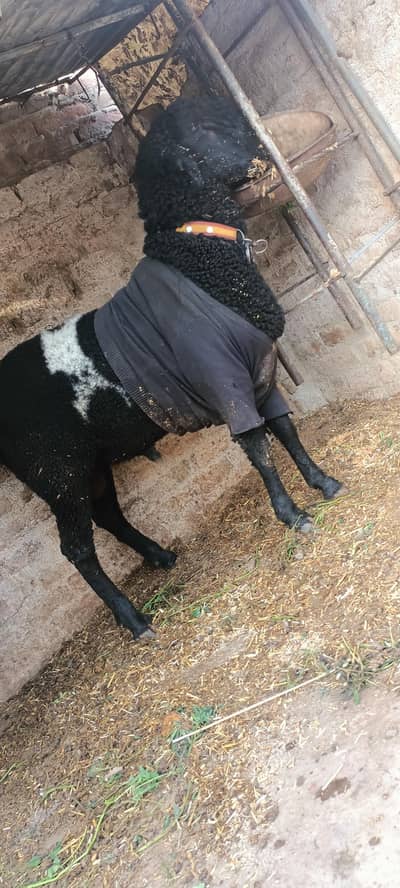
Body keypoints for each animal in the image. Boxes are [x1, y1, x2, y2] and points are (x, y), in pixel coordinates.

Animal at [0, 96, 344, 641]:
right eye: (205, 126)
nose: (263, 135)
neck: (200, 254)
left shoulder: (259, 373)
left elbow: (286, 430)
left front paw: (324, 483)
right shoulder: (225, 381)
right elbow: (259, 448)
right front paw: (292, 514)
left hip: (91, 462)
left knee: (108, 515)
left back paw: (160, 555)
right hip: (55, 469)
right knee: (76, 548)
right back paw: (135, 619)